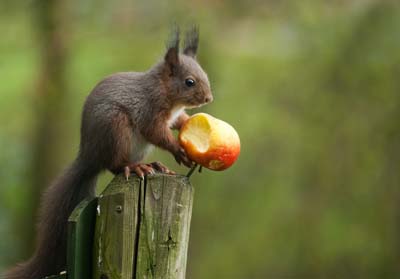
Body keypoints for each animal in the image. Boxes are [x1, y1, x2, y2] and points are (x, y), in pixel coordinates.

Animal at [5, 26, 212, 279]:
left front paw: (188, 125)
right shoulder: (149, 110)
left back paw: (155, 165)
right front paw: (178, 150)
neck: (165, 92)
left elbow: (179, 121)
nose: (208, 98)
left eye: (204, 76)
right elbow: (156, 133)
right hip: (115, 129)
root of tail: (89, 156)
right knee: (115, 165)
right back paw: (134, 167)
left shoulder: (171, 115)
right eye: (189, 82)